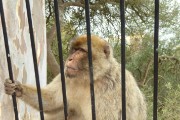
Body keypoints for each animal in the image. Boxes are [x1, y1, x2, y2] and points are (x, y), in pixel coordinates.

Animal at [4, 35, 147, 120]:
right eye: (74, 50)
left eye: (81, 51)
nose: (70, 59)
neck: (89, 79)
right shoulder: (66, 77)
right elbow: (53, 101)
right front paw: (18, 88)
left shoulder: (110, 88)